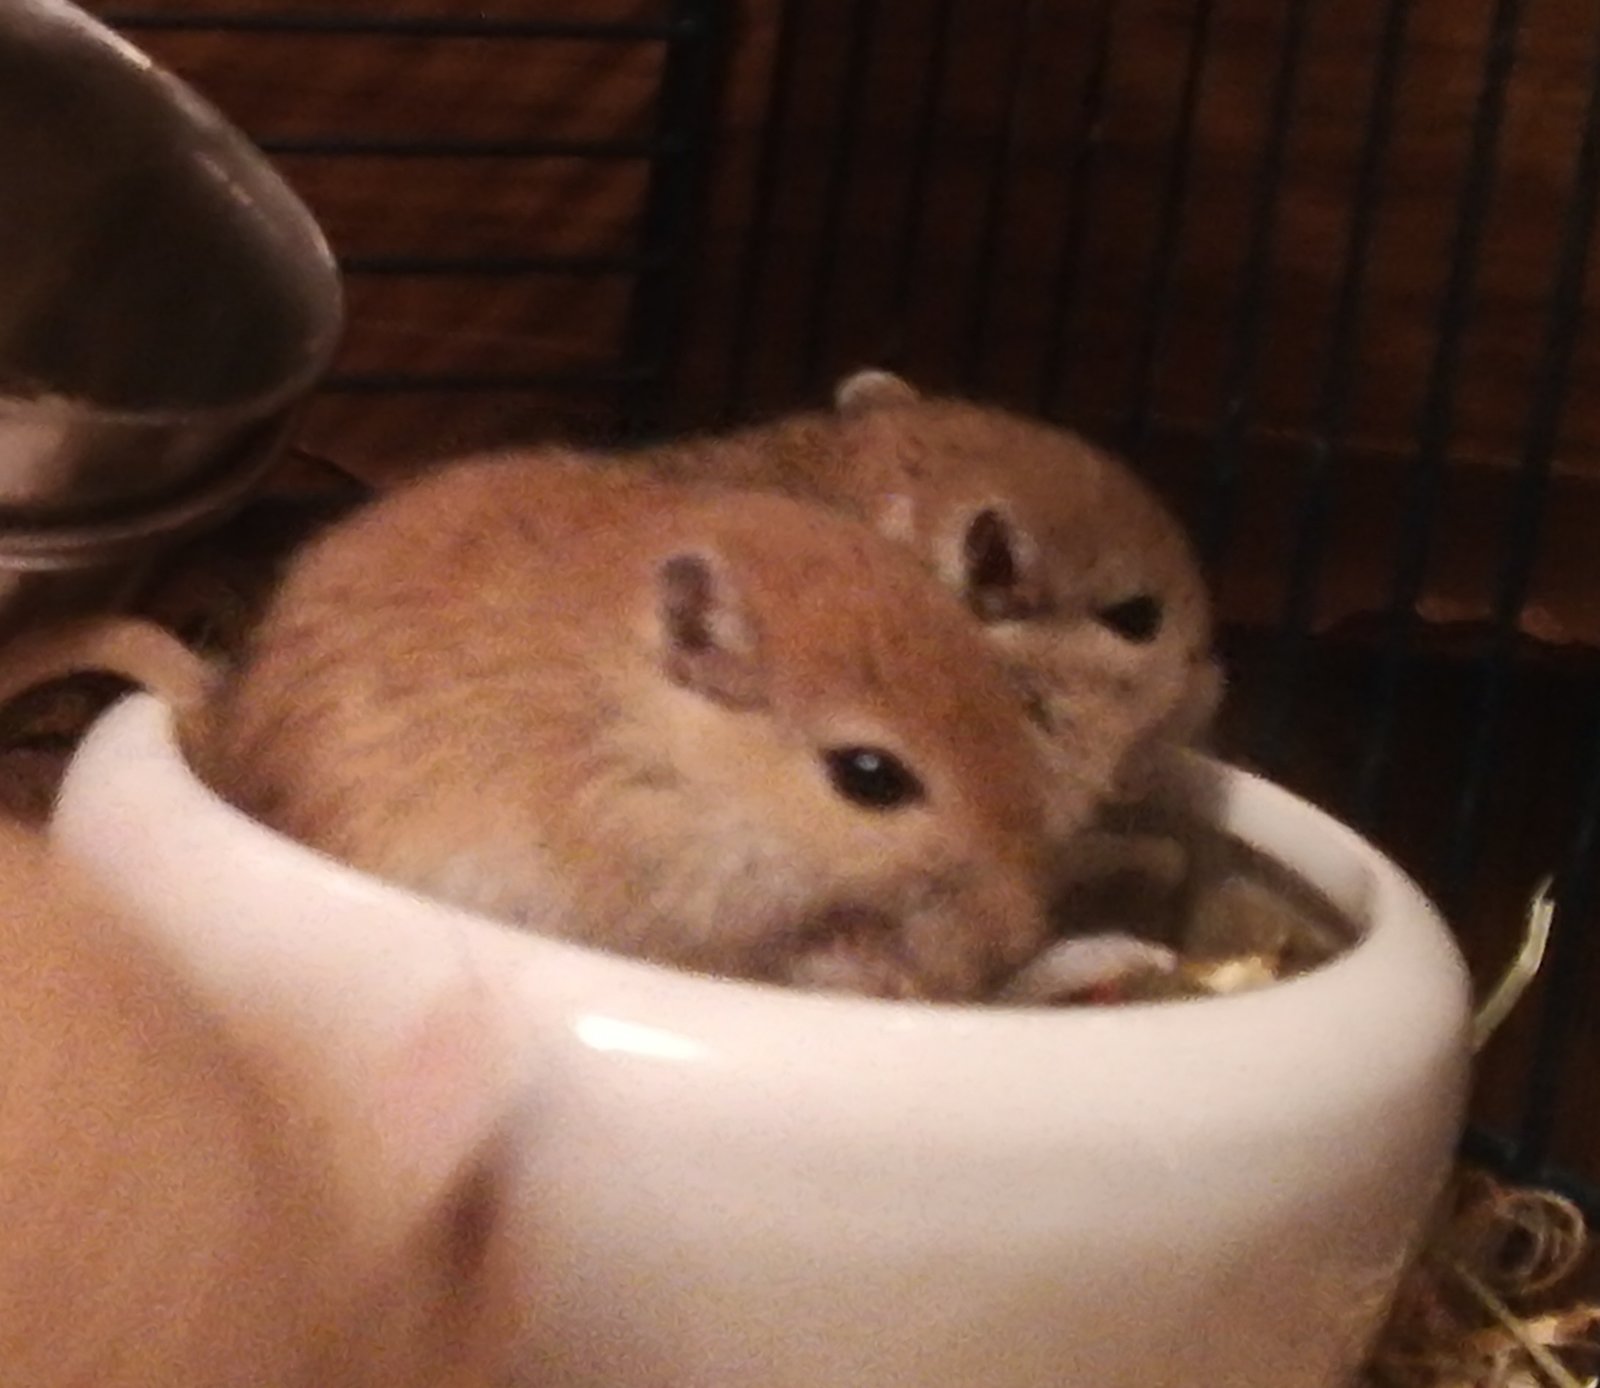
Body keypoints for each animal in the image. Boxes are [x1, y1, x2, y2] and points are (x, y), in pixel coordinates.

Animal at [2, 454, 1058, 1002]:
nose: (1019, 942)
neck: (641, 734)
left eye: (1016, 709)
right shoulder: (667, 899)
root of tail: (211, 722)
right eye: (871, 776)